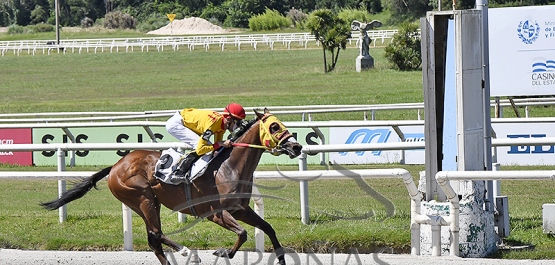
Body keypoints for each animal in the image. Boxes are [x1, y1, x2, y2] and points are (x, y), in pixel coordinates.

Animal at [39, 108, 304, 264]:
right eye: (274, 127)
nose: (297, 146)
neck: (229, 167)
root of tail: (115, 165)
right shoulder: (215, 213)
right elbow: (243, 233)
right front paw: (223, 252)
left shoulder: (240, 209)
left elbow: (267, 228)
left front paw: (281, 258)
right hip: (142, 198)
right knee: (155, 234)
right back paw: (186, 251)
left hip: (146, 202)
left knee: (154, 238)